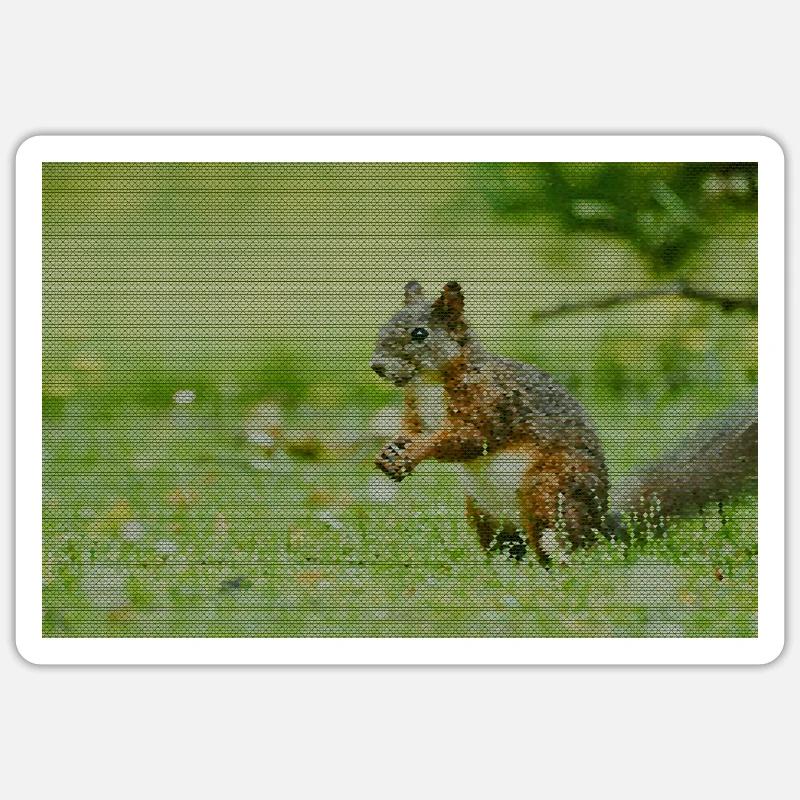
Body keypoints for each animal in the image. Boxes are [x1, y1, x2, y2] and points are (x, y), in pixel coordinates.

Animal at [371, 281, 757, 564]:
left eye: (420, 334)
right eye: (385, 324)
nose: (377, 366)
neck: (430, 383)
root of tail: (601, 525)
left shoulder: (495, 402)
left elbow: (470, 437)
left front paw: (416, 451)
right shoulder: (417, 409)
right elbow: (412, 428)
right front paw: (391, 450)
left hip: (548, 490)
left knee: (562, 544)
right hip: (483, 514)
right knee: (510, 548)